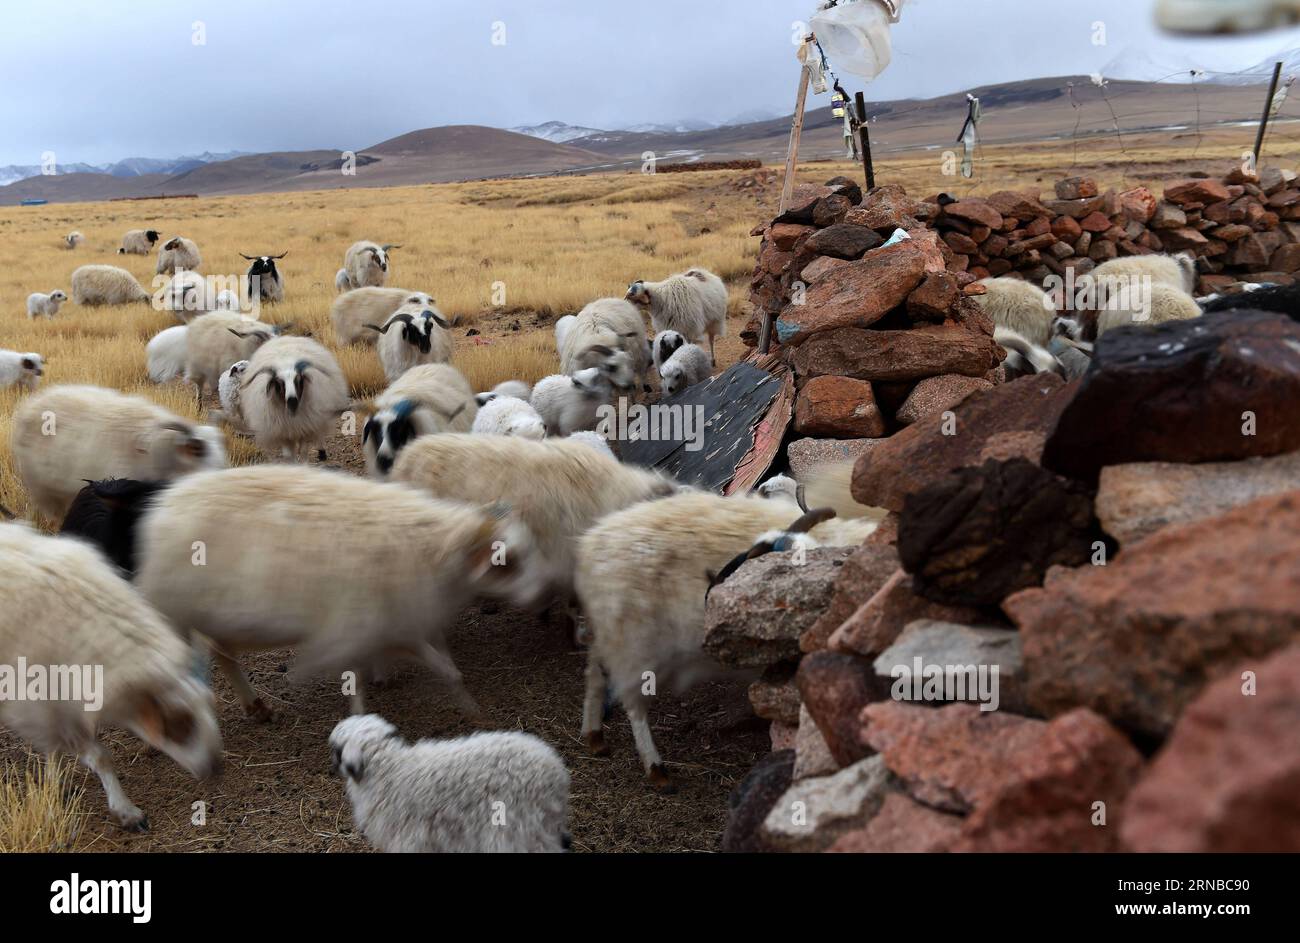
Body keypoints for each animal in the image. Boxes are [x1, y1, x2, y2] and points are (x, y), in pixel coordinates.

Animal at [0, 524, 222, 830]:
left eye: (210, 706)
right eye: (180, 723)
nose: (216, 768)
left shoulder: (59, 704)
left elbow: (57, 751)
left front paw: (55, 786)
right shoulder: (38, 705)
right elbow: (97, 757)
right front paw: (126, 811)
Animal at [132, 465, 550, 720]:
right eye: (505, 561)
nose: (542, 595)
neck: (428, 546)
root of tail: (163, 506)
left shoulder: (396, 622)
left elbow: (443, 666)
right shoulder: (355, 625)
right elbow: (361, 678)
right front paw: (362, 714)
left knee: (225, 657)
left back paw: (256, 707)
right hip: (176, 617)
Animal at [330, 715, 570, 853]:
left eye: (337, 750)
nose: (331, 769)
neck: (388, 768)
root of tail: (556, 773)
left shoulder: (410, 838)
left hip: (518, 826)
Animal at [576, 494, 874, 791]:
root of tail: (593, 542)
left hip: (612, 636)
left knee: (594, 673)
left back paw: (594, 734)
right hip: (637, 649)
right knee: (634, 705)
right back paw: (656, 768)